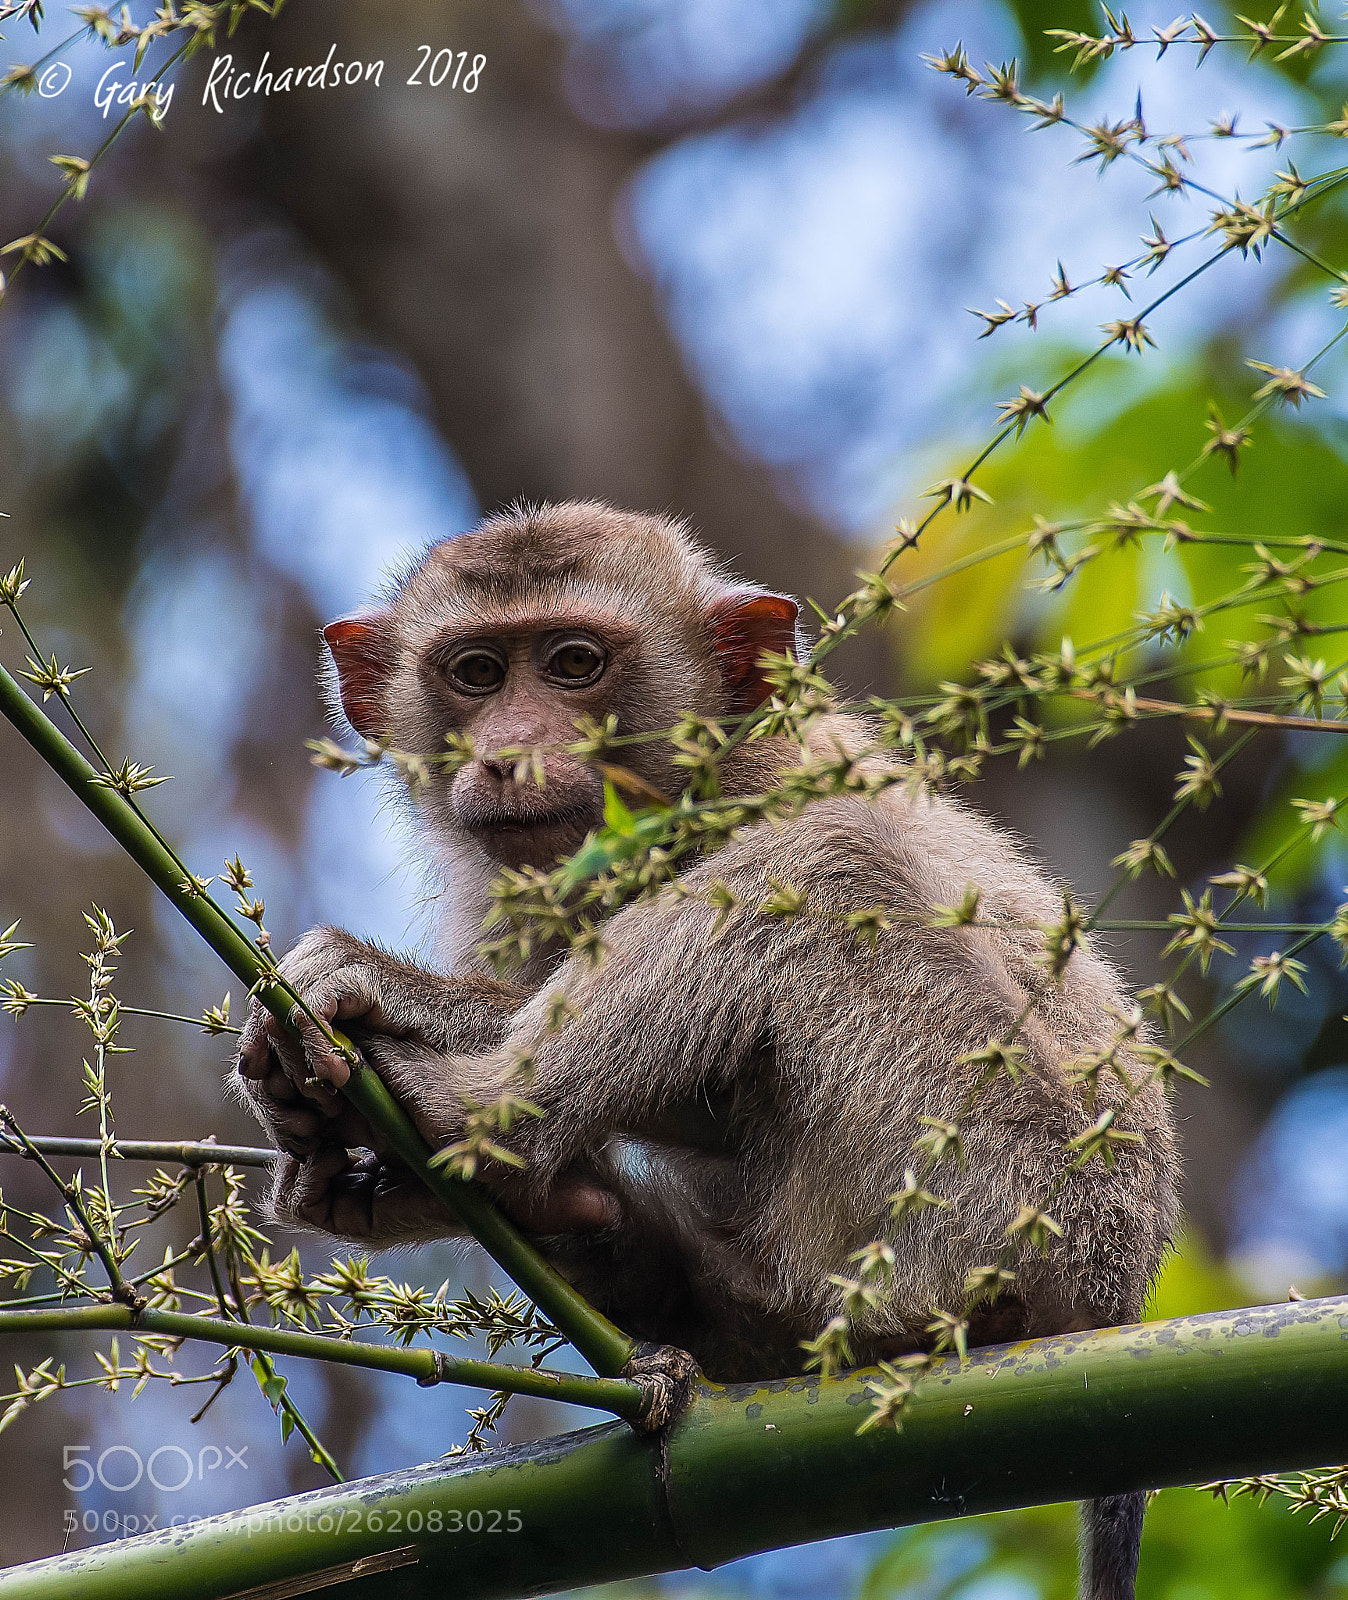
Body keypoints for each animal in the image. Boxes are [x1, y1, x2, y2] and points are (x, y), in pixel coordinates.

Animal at [234, 500, 1179, 1600]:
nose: (511, 753)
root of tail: (1114, 1300)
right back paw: (583, 1223)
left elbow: (773, 936)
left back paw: (475, 1116)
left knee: (827, 857)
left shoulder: (764, 785)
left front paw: (387, 996)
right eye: (475, 673)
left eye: (574, 664)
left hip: (998, 1187)